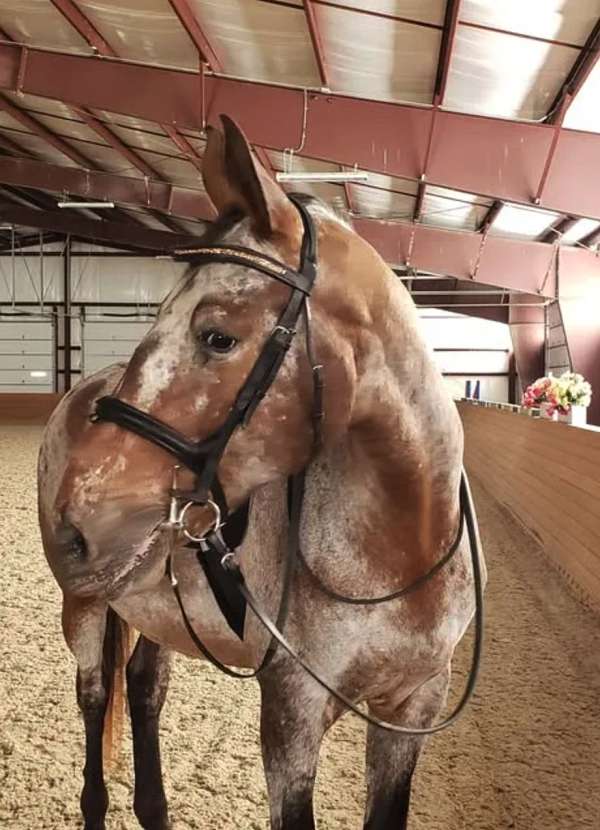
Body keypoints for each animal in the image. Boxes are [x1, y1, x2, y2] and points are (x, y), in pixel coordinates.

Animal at [38, 114, 484, 830]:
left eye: (218, 337)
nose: (75, 522)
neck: (399, 550)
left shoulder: (411, 708)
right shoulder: (292, 715)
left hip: (157, 604)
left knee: (144, 686)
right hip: (84, 604)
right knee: (95, 695)